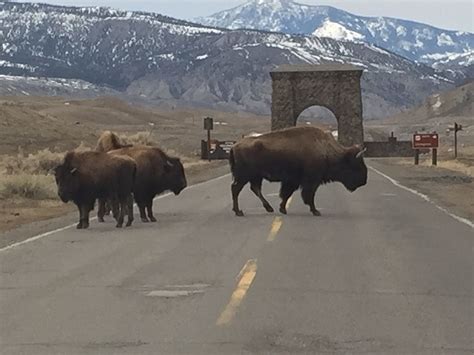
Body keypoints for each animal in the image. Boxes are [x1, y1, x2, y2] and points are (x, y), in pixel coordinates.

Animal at [228, 126, 368, 218]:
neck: (325, 149)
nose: (364, 181)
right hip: (244, 176)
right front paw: (316, 211)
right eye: (356, 166)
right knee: (236, 189)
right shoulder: (311, 181)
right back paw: (239, 212)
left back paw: (268, 208)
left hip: (255, 176)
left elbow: (286, 194)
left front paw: (282, 209)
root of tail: (234, 146)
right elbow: (308, 195)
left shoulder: (293, 181)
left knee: (254, 189)